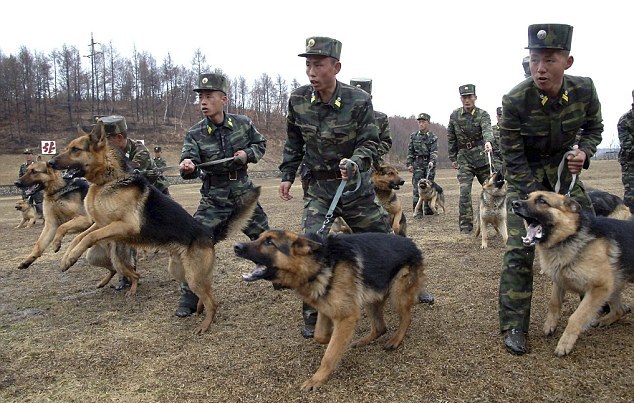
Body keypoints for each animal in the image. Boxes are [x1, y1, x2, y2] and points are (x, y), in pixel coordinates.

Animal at [46, 124, 260, 334]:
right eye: (68, 147)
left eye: (75, 150)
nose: (49, 163)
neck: (109, 180)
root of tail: (209, 233)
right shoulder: (101, 224)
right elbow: (78, 237)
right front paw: (65, 255)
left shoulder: (123, 226)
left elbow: (88, 238)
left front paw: (70, 258)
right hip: (180, 271)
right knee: (205, 294)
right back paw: (199, 310)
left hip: (193, 277)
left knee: (213, 302)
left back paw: (205, 325)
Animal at [233, 230, 424, 392]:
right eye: (258, 237)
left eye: (269, 242)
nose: (236, 246)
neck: (320, 264)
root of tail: (412, 243)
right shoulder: (325, 308)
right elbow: (320, 336)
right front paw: (331, 337)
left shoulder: (347, 316)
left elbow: (329, 355)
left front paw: (317, 379)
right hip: (372, 299)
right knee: (380, 327)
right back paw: (363, 340)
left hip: (397, 294)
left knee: (406, 318)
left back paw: (395, 340)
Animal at [512, 191, 632, 356]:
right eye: (526, 197)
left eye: (542, 201)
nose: (513, 203)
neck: (570, 235)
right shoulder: (559, 280)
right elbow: (553, 303)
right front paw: (550, 325)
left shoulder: (599, 288)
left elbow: (575, 318)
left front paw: (564, 343)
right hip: (614, 285)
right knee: (620, 310)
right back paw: (604, 320)